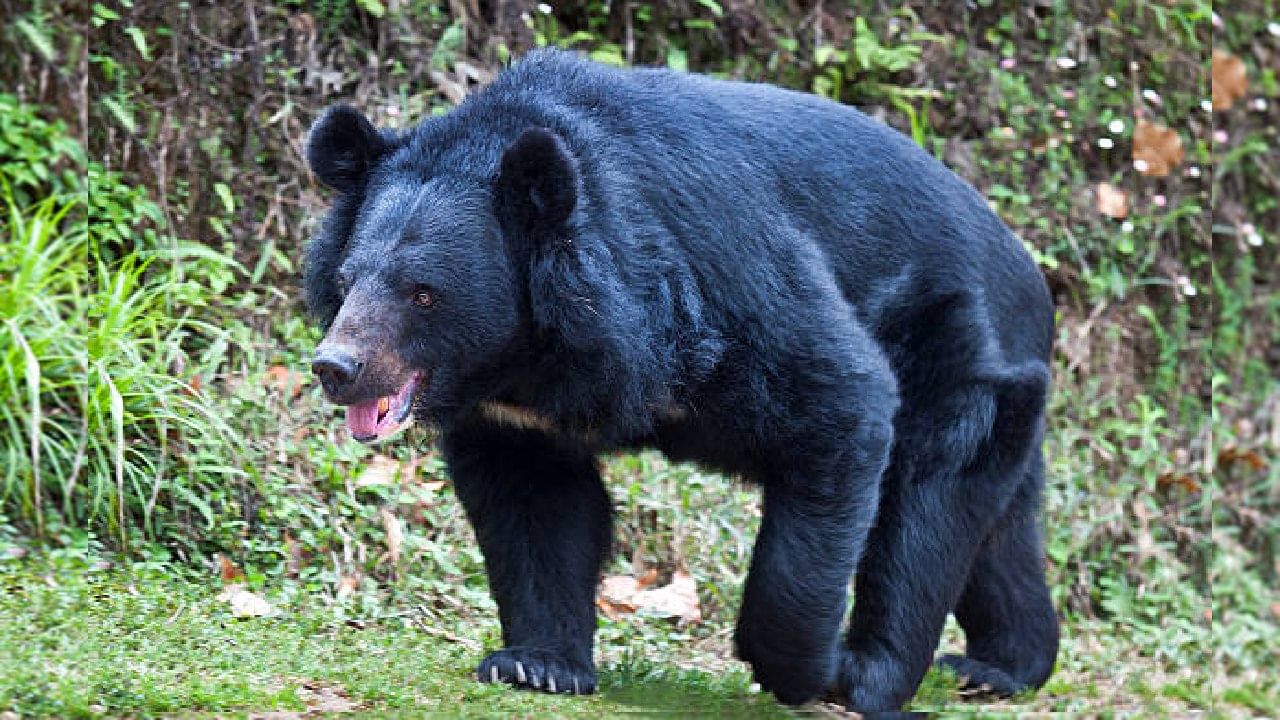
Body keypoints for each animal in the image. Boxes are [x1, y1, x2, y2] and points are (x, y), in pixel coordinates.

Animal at [302, 47, 1059, 707]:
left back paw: (871, 675)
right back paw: (1001, 665)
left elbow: (840, 399)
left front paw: (805, 668)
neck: (528, 355)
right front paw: (537, 664)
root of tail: (1030, 275)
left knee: (925, 514)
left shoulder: (720, 276)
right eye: (346, 281)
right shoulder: (515, 416)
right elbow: (535, 505)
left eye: (423, 293)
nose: (337, 368)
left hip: (959, 356)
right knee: (999, 528)